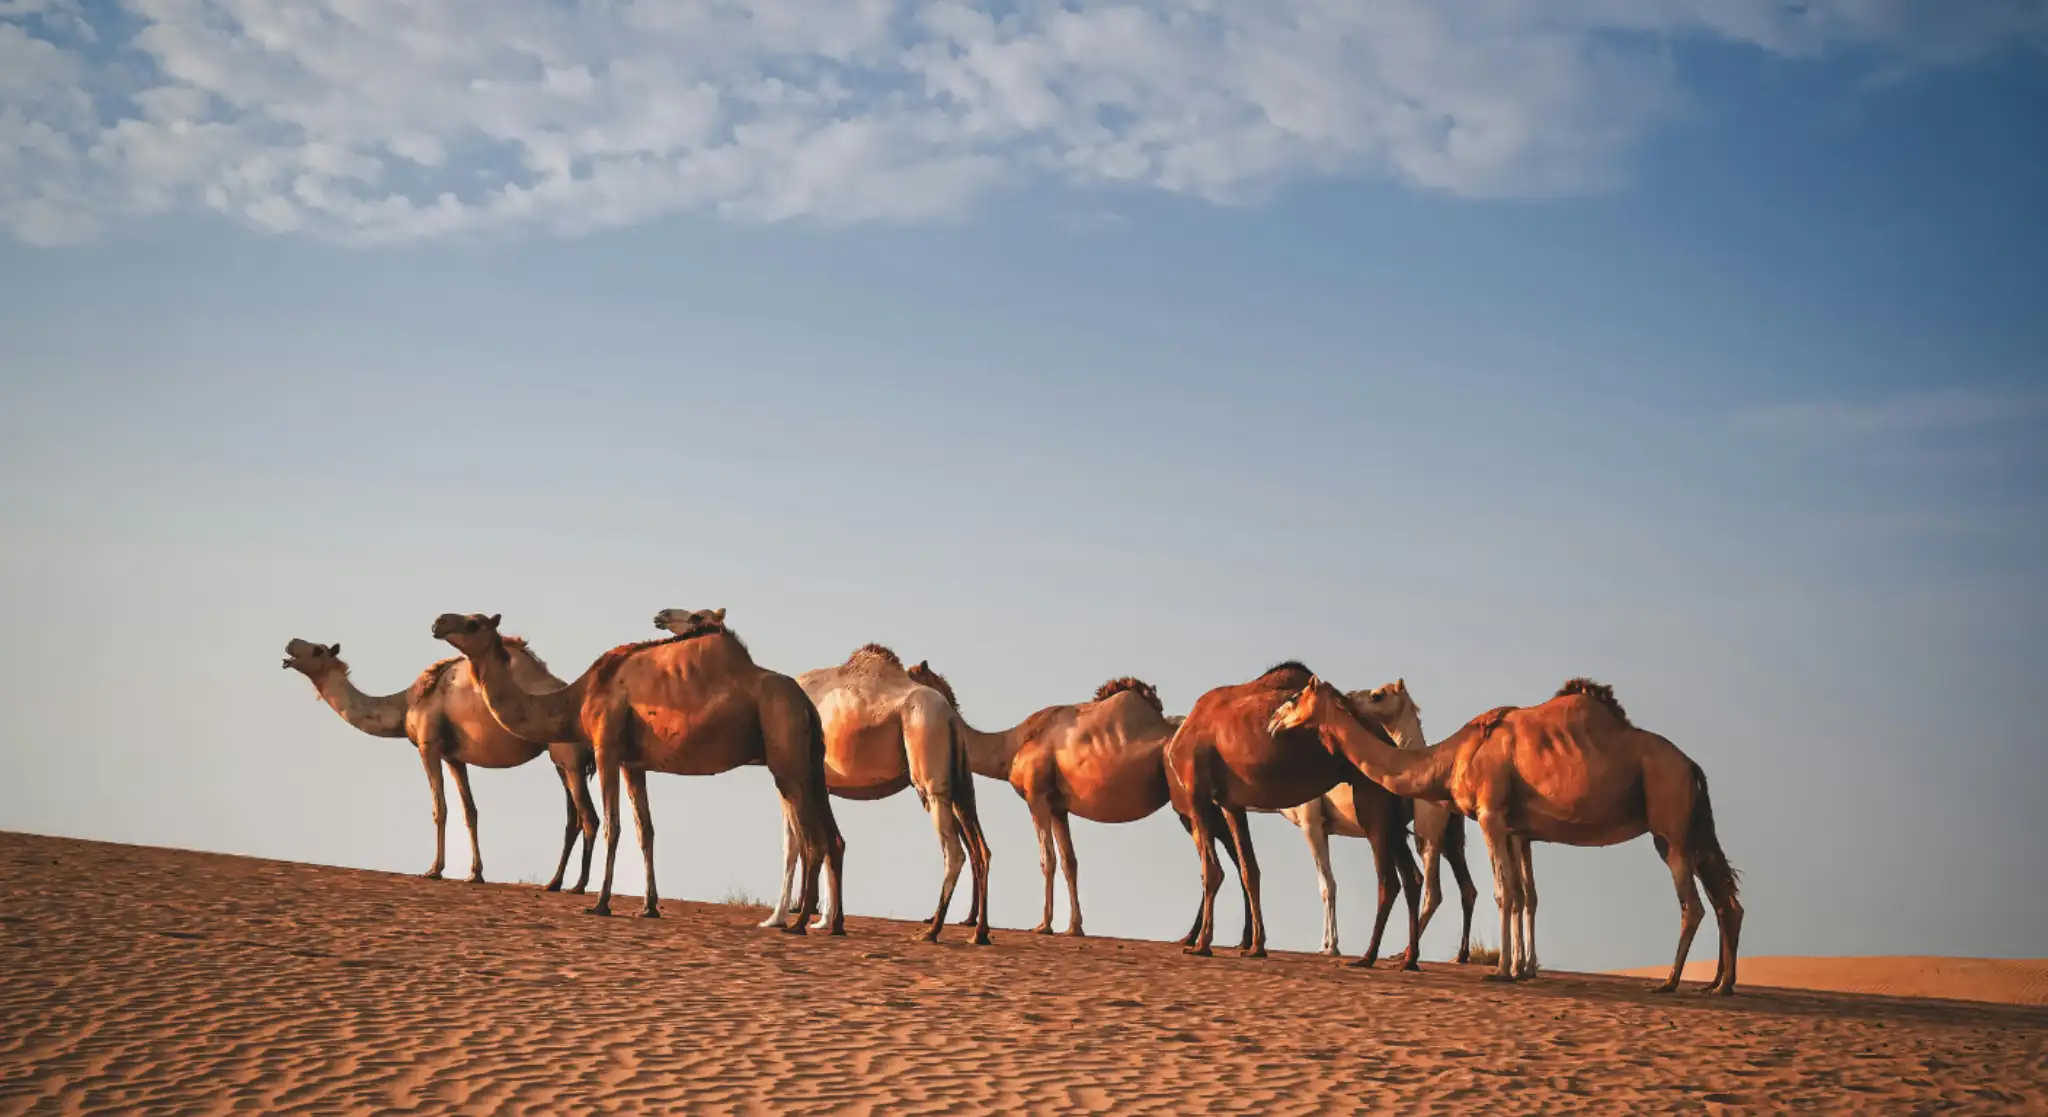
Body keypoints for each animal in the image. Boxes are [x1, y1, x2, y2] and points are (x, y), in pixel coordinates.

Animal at [282, 637, 597, 890]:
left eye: (317, 650)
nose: (290, 644)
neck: (405, 704)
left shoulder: (428, 745)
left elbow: (440, 808)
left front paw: (434, 870)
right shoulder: (454, 756)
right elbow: (470, 811)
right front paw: (475, 874)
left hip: (569, 759)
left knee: (588, 817)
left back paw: (578, 887)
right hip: (560, 761)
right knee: (573, 819)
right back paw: (554, 882)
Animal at [432, 612, 844, 933]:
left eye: (473, 622)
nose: (438, 622)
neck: (576, 699)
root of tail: (805, 703)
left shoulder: (606, 749)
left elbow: (613, 825)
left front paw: (600, 903)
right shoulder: (634, 764)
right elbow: (645, 830)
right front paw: (648, 907)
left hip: (786, 753)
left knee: (812, 838)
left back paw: (798, 923)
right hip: (810, 760)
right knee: (833, 837)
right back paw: (834, 925)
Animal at [655, 612, 990, 946]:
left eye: (696, 617)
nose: (662, 616)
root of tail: (950, 716)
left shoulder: (793, 777)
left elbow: (793, 846)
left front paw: (778, 918)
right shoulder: (822, 784)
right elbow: (831, 842)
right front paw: (826, 920)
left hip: (929, 775)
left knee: (955, 851)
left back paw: (933, 930)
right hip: (959, 784)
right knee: (980, 850)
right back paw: (979, 932)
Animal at [1165, 661, 1421, 964]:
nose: (1273, 721)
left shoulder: (1199, 793)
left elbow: (1212, 871)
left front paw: (1202, 944)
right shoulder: (1232, 803)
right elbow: (1250, 870)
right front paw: (1256, 946)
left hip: (1372, 802)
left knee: (1389, 880)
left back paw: (1368, 957)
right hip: (1392, 817)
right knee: (1412, 878)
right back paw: (1408, 959)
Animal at [1270, 676, 1744, 993]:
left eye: (1294, 698)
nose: (1273, 720)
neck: (1451, 756)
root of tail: (1691, 766)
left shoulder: (1491, 815)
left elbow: (1505, 894)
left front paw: (1500, 970)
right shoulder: (1516, 827)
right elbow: (1520, 894)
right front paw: (1517, 968)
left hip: (1670, 820)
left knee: (1693, 905)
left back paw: (1670, 982)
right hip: (1689, 829)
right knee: (1725, 900)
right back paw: (1719, 984)